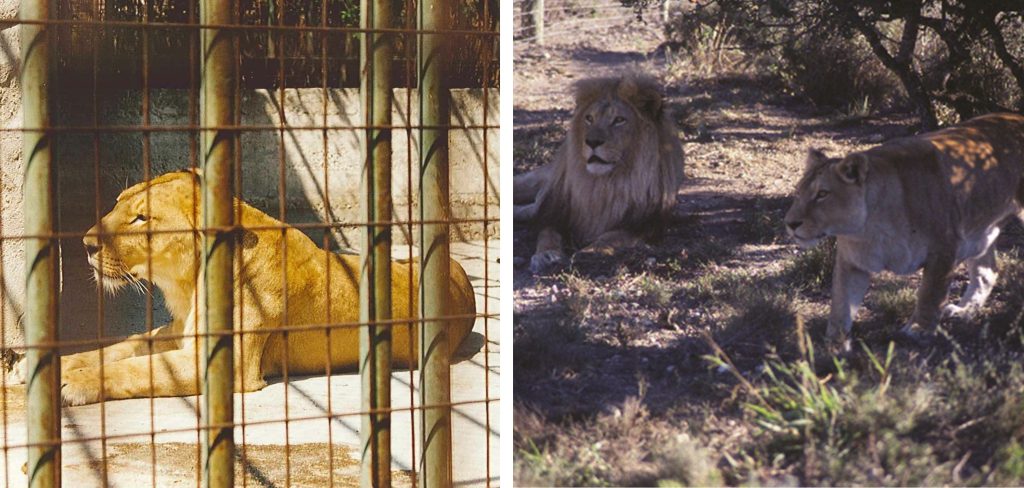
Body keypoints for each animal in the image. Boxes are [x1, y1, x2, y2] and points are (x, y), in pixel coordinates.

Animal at [7, 168, 475, 405]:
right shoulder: (179, 332)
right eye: (118, 203)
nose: (85, 244)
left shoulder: (226, 362)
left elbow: (137, 369)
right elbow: (120, 348)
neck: (189, 282)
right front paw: (40, 366)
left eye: (141, 218)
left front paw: (70, 383)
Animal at [516, 72, 684, 272]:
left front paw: (588, 251)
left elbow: (613, 236)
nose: (592, 142)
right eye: (589, 118)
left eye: (619, 120)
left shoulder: (645, 225)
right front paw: (547, 255)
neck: (602, 184)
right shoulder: (555, 211)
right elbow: (547, 234)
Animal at [782, 112, 1024, 347]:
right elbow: (841, 305)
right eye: (798, 192)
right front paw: (834, 344)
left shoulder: (944, 248)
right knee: (988, 271)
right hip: (980, 231)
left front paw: (917, 331)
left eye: (822, 194)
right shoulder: (851, 262)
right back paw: (963, 311)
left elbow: (929, 295)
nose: (790, 223)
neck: (869, 229)